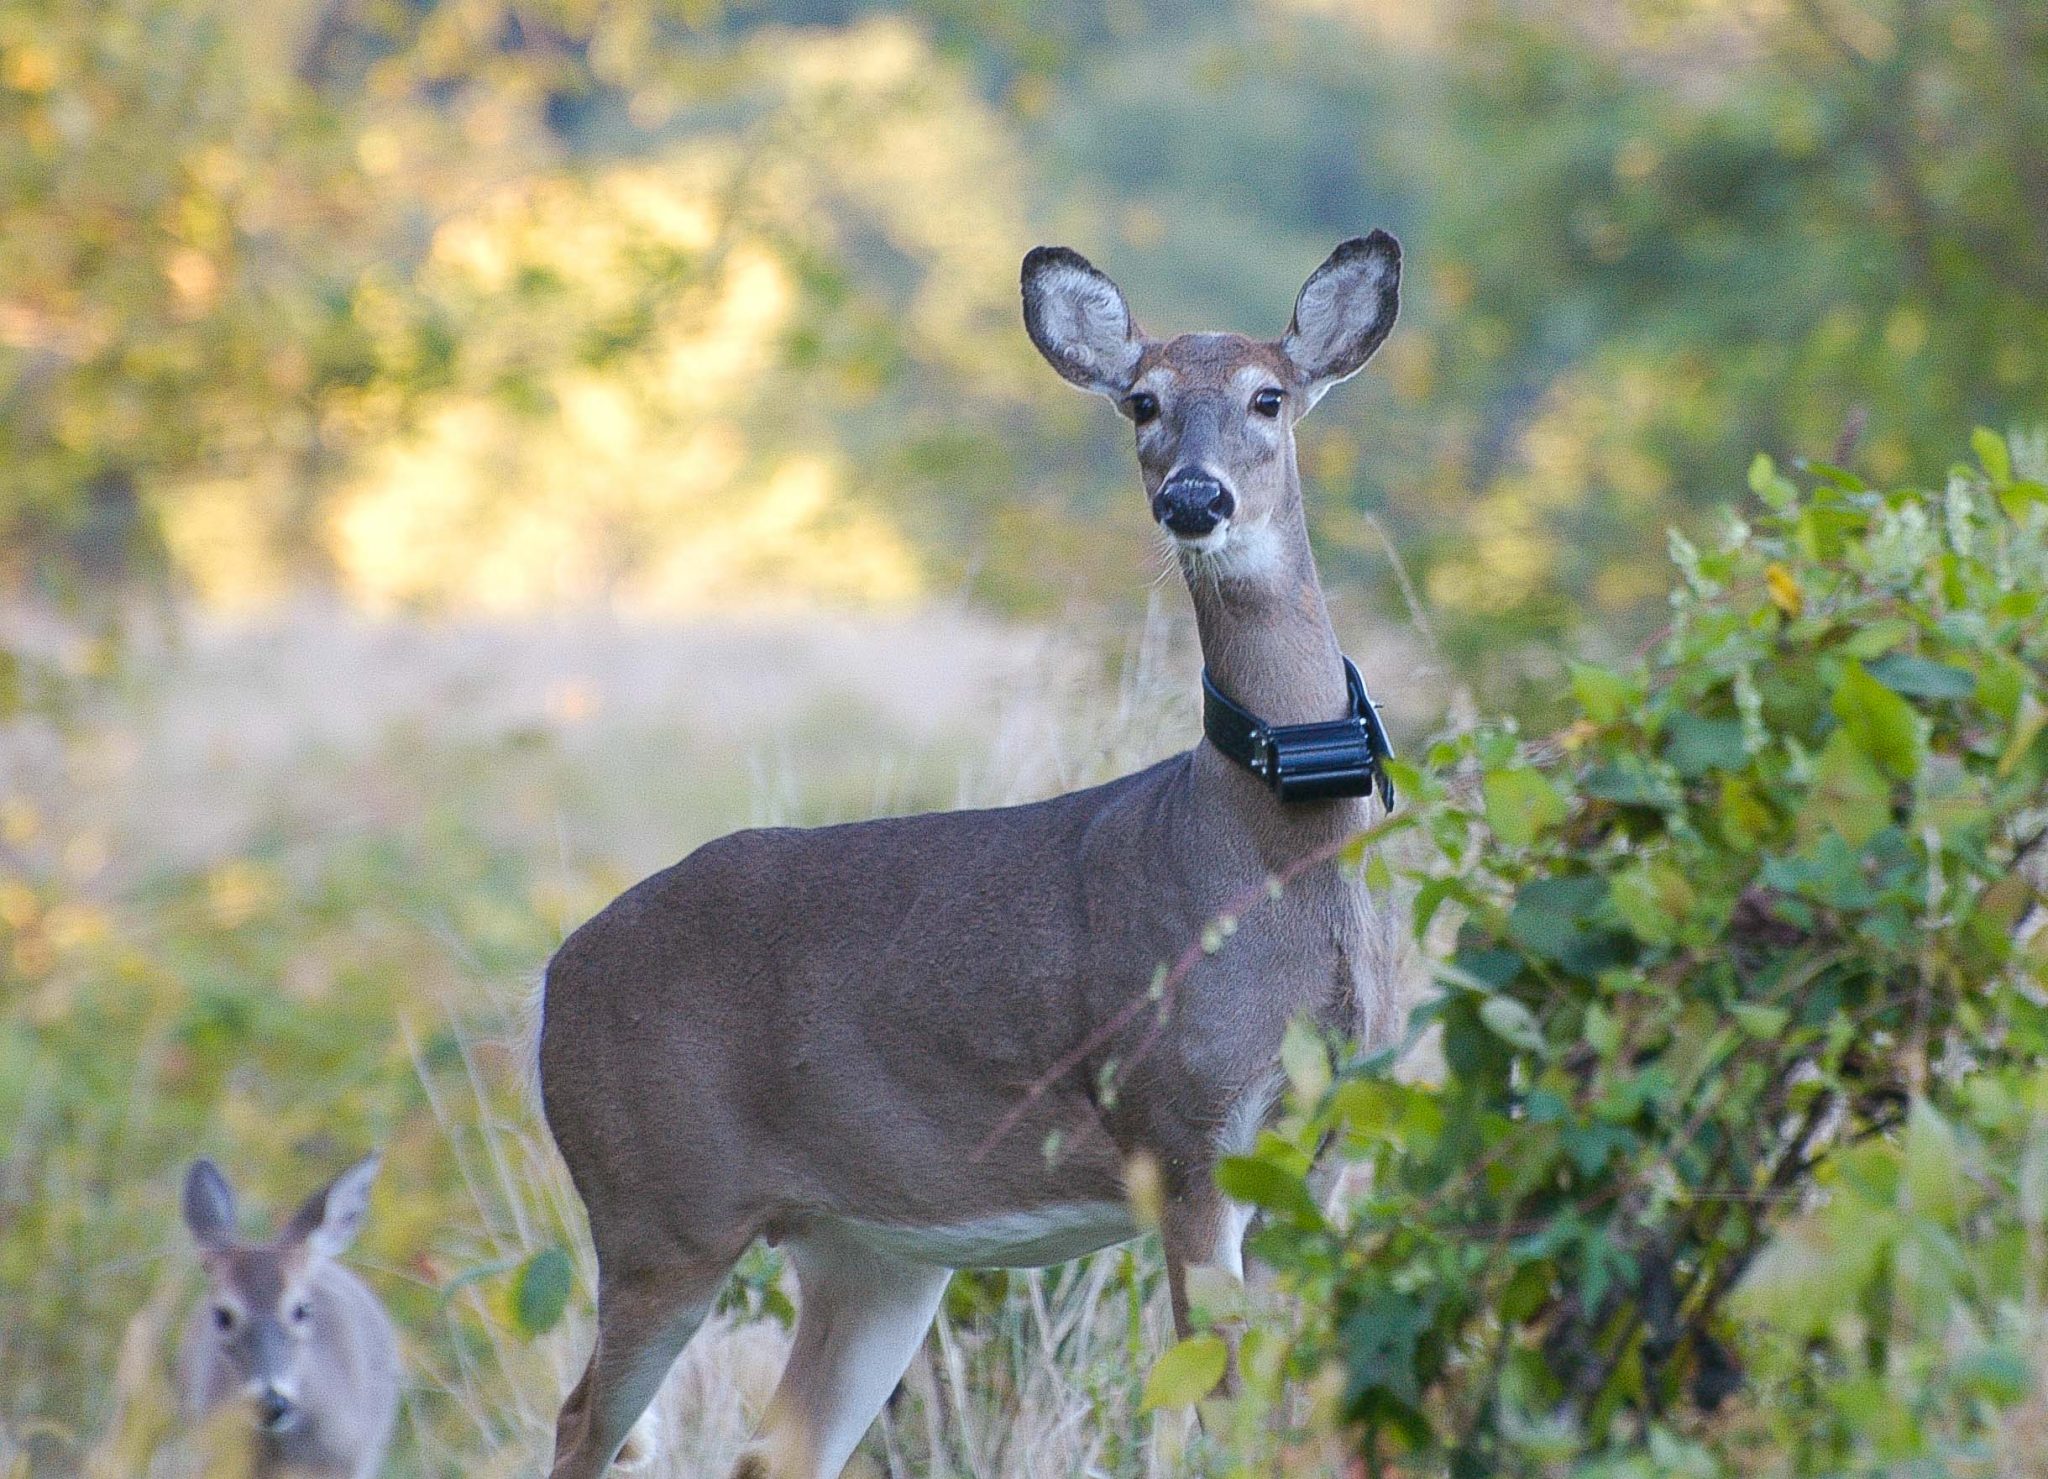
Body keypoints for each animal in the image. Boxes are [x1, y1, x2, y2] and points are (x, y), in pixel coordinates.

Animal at [537, 230, 1407, 1479]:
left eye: (1267, 397)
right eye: (1141, 401)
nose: (1194, 499)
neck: (1269, 853)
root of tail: (549, 982)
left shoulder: (1326, 1153)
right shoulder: (1179, 1127)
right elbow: (1224, 1421)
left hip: (870, 1251)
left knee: (772, 1448)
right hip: (657, 1206)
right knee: (581, 1423)